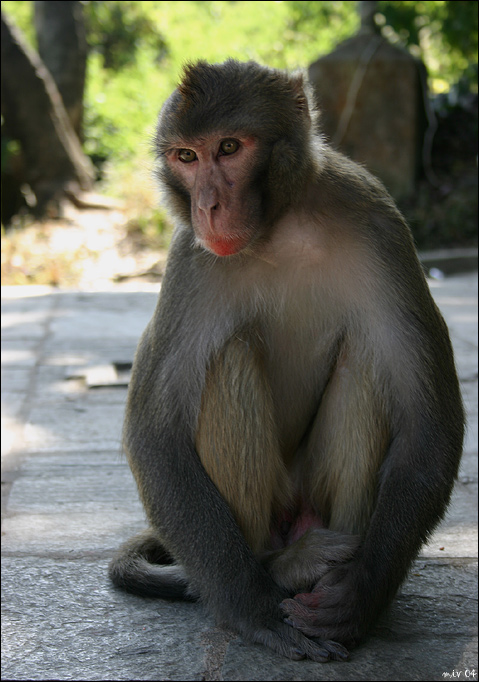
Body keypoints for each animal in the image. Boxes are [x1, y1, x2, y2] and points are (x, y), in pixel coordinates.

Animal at [109, 59, 464, 660]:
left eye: (229, 147)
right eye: (187, 157)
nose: (207, 207)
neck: (281, 228)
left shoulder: (379, 224)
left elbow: (428, 423)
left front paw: (360, 595)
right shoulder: (190, 262)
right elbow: (155, 435)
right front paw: (253, 608)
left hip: (312, 493)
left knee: (365, 360)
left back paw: (324, 573)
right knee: (229, 357)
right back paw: (281, 568)